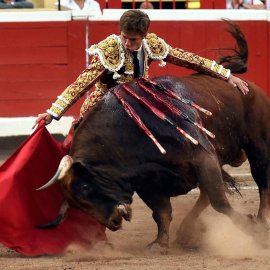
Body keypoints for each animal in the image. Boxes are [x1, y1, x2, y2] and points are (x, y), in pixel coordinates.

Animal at [38, 73, 270, 247]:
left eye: (85, 187)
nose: (113, 222)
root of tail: (251, 86)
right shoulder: (147, 182)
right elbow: (161, 212)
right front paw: (160, 243)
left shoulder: (203, 157)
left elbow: (220, 202)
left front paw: (251, 227)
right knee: (206, 193)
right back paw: (185, 232)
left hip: (258, 145)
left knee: (261, 183)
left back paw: (262, 222)